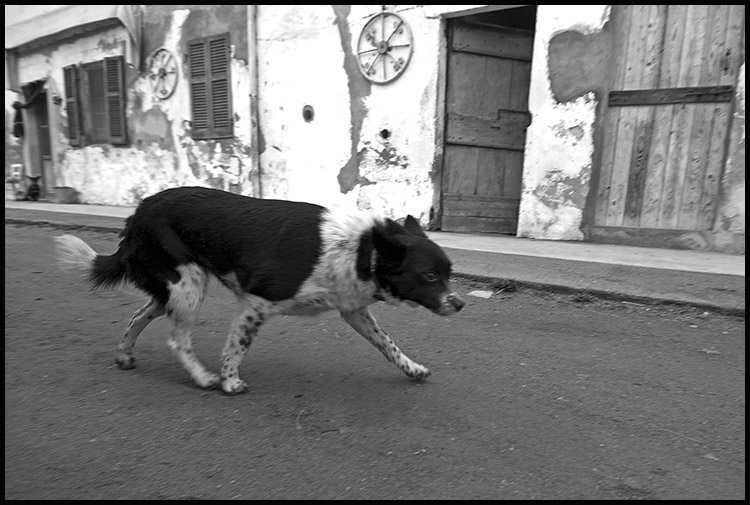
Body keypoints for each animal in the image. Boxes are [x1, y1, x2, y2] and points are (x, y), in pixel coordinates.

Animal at [57, 186, 464, 394]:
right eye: (430, 276)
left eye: (448, 273)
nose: (459, 303)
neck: (364, 248)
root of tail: (138, 212)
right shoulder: (257, 301)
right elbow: (236, 346)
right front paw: (229, 381)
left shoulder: (353, 309)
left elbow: (387, 345)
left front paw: (412, 368)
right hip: (188, 286)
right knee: (177, 339)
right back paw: (203, 377)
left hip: (173, 289)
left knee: (139, 314)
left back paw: (125, 354)